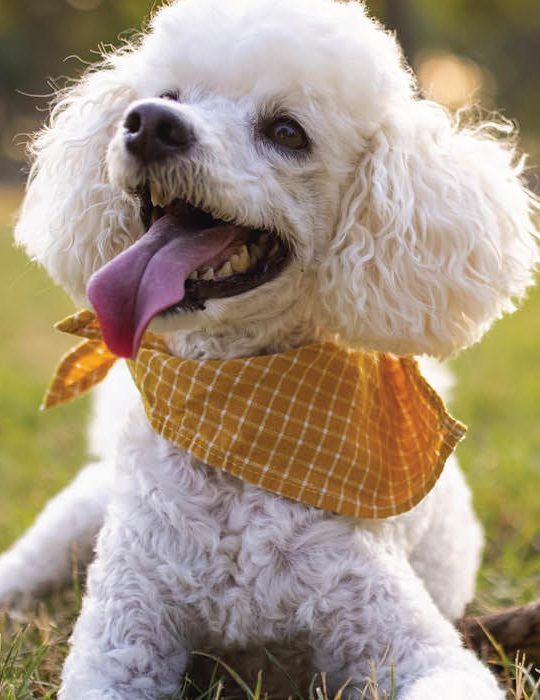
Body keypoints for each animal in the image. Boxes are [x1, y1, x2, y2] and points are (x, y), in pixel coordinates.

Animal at [2, 0, 536, 696]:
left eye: (287, 132)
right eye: (167, 97)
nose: (150, 126)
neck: (237, 417)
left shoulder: (407, 642)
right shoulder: (123, 638)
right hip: (77, 517)